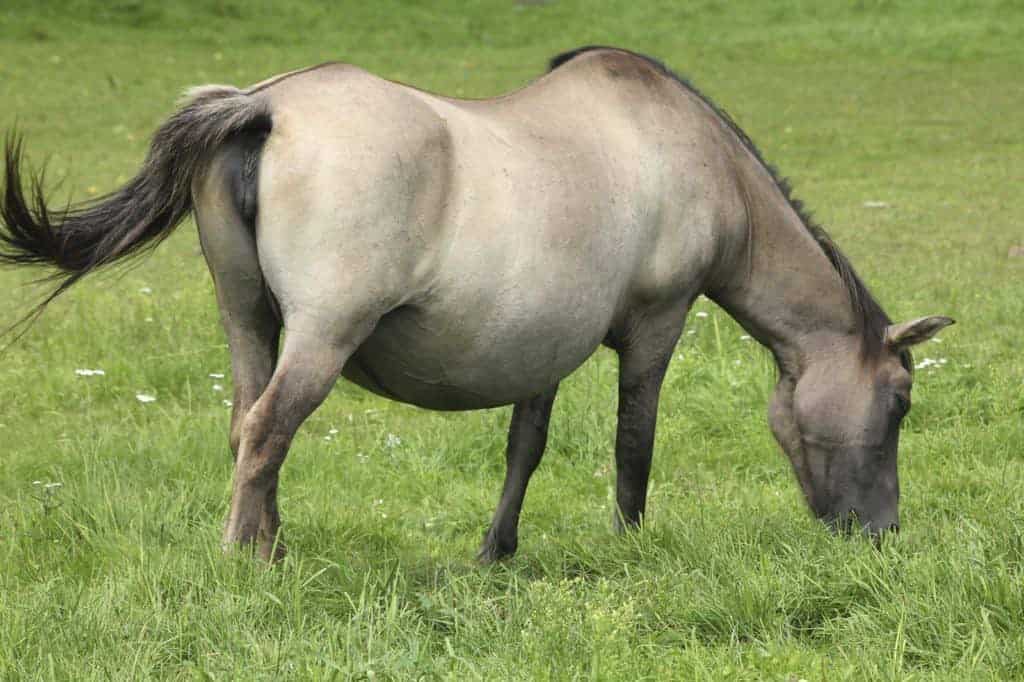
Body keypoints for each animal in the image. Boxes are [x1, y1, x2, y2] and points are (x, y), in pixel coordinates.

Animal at [0, 46, 953, 562]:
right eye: (901, 401)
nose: (883, 533)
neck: (691, 156)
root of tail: (263, 106)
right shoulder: (658, 323)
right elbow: (634, 444)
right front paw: (630, 545)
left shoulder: (543, 344)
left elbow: (523, 449)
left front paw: (496, 551)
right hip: (320, 337)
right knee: (270, 429)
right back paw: (246, 559)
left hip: (248, 320)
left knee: (245, 429)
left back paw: (272, 546)